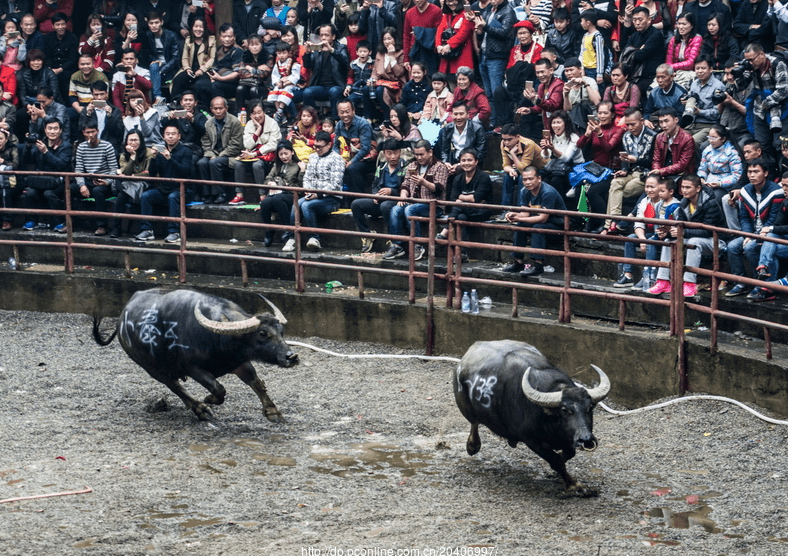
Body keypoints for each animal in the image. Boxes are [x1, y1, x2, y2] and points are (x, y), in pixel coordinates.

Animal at [94, 288, 298, 424]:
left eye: (281, 331)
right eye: (262, 334)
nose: (292, 356)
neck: (219, 338)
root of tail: (122, 317)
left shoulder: (240, 362)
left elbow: (257, 384)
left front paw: (273, 412)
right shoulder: (194, 369)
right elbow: (218, 389)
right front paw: (208, 400)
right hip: (150, 367)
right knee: (174, 386)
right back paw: (201, 410)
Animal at [452, 338, 612, 490]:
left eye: (589, 408)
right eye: (564, 410)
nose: (585, 439)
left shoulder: (569, 439)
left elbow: (567, 455)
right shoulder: (530, 440)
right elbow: (555, 461)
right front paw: (573, 484)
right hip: (466, 407)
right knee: (474, 422)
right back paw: (472, 446)